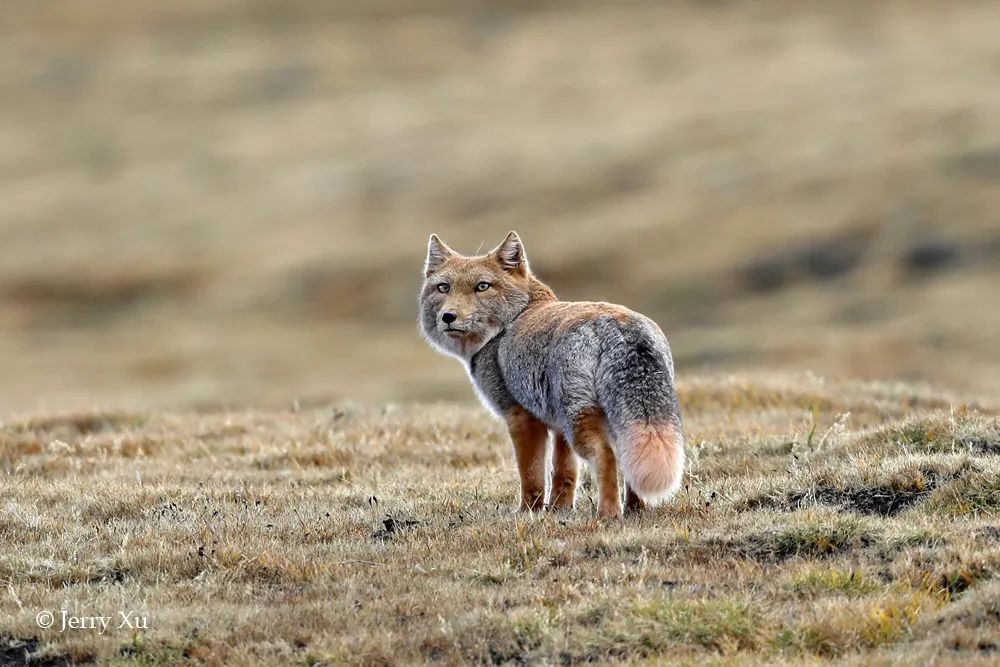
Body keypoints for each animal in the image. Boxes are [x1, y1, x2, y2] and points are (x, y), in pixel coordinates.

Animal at [418, 232, 684, 520]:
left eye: (482, 287)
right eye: (443, 288)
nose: (448, 316)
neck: (514, 317)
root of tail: (621, 327)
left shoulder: (521, 417)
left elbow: (531, 475)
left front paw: (528, 511)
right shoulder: (555, 424)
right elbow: (563, 472)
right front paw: (559, 509)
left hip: (578, 422)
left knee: (607, 456)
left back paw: (608, 514)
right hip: (608, 421)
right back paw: (635, 510)